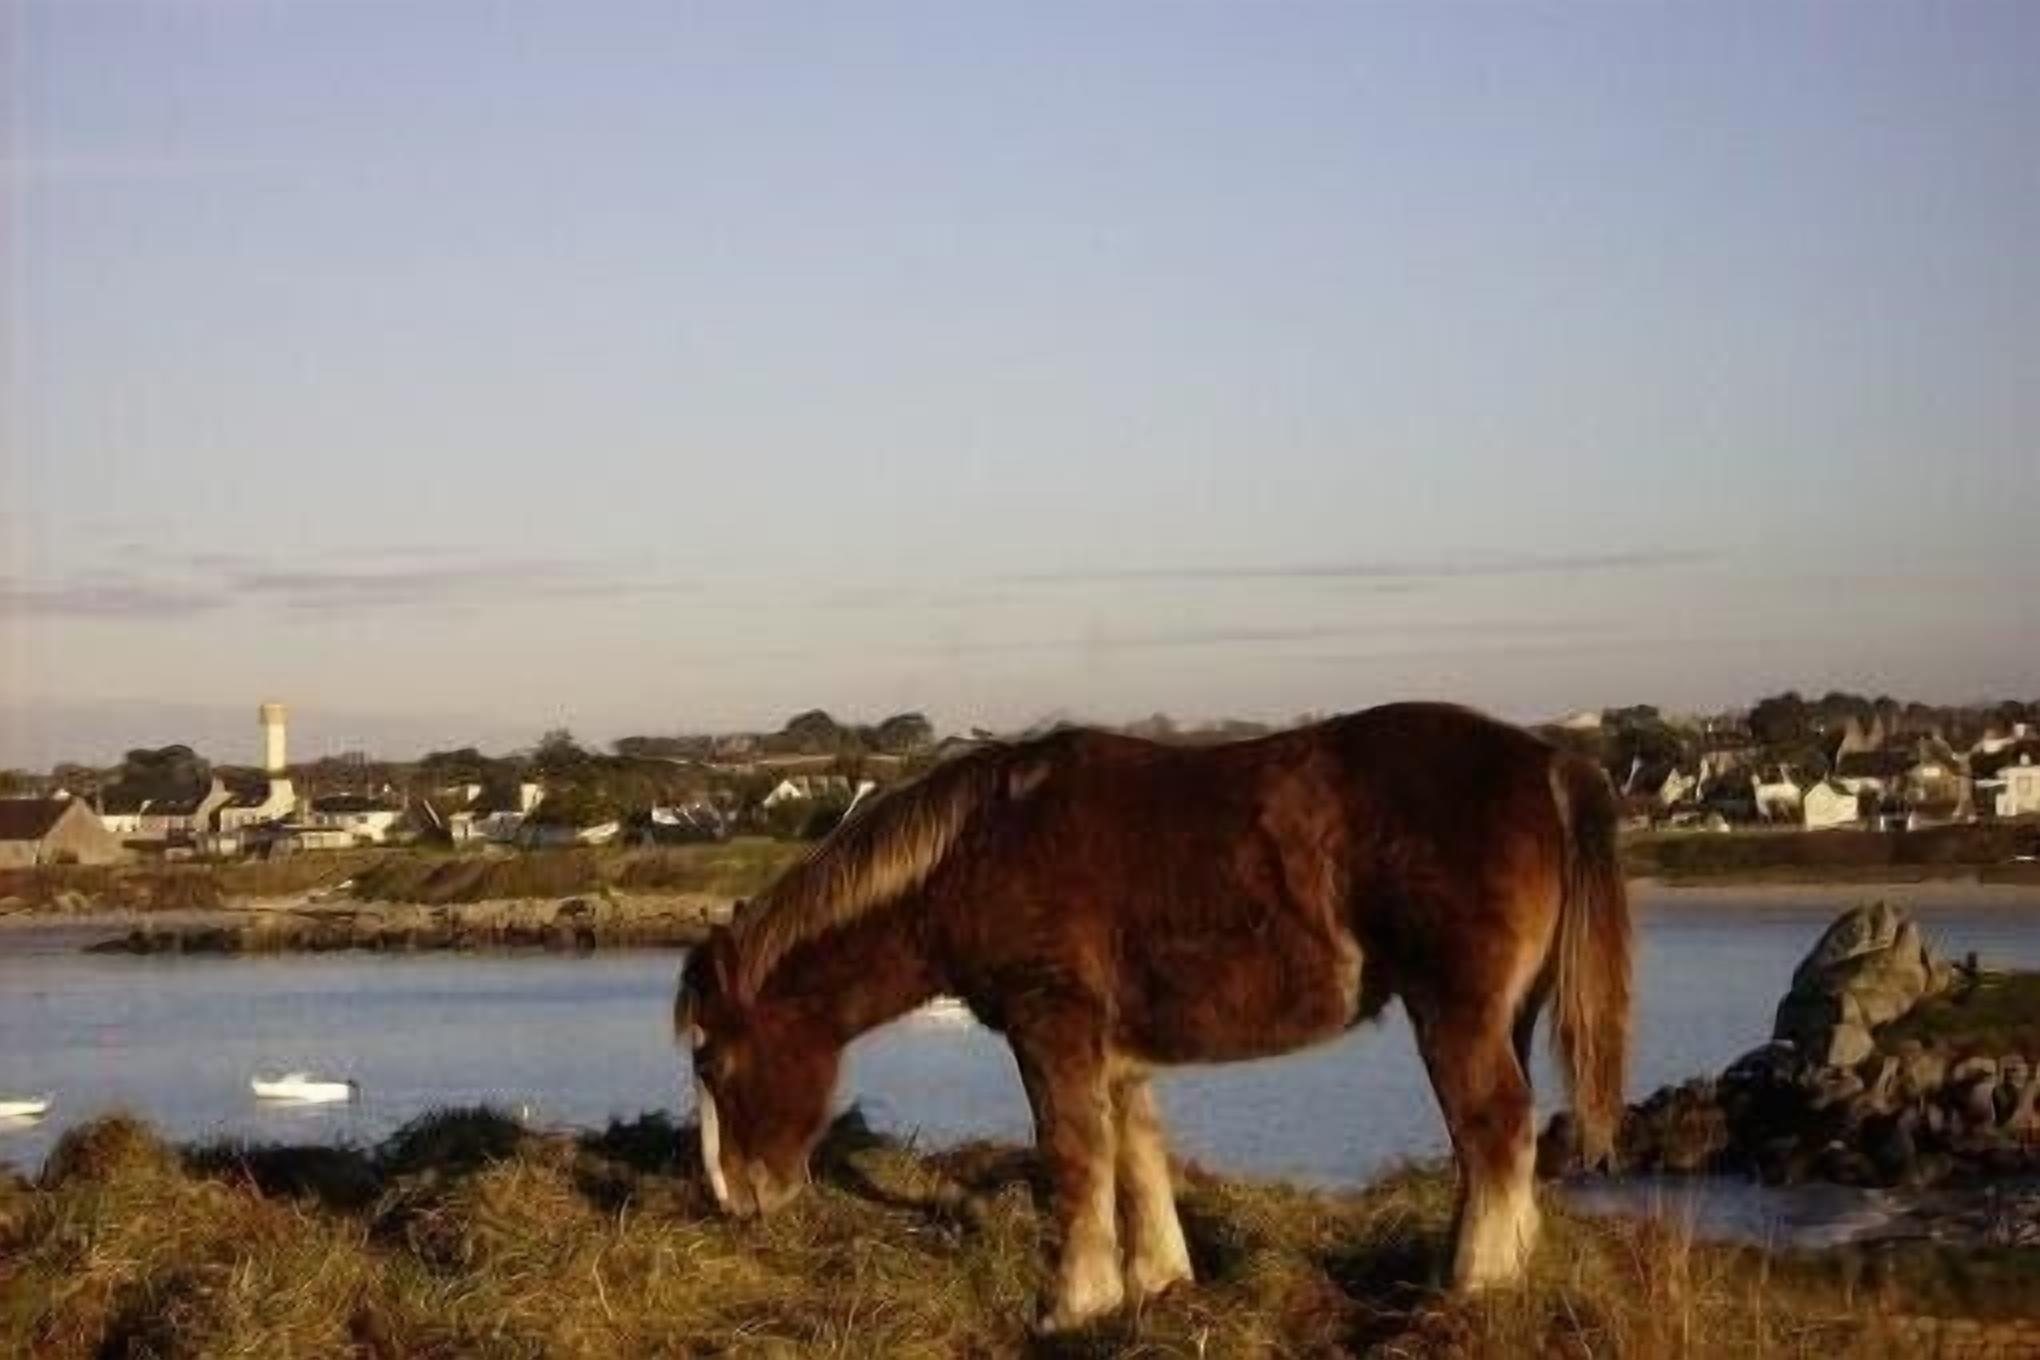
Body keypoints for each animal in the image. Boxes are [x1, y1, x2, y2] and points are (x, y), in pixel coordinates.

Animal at [676, 702, 1631, 1332]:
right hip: (1501, 1018)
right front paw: (1158, 1285)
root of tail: (1547, 762)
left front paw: (1073, 1303)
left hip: (1455, 1014)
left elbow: (1074, 1154)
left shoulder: (1051, 1025)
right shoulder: (1116, 1048)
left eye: (712, 1062)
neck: (974, 852)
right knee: (1494, 1143)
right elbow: (1135, 1153)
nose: (732, 1200)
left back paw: (1475, 1291)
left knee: (1494, 1129)